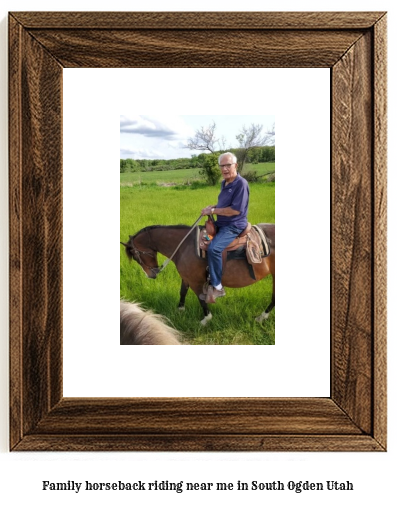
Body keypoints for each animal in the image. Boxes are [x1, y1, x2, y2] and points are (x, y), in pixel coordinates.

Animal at [122, 224, 274, 328]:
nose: (151, 275)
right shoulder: (186, 277)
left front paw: (206, 319)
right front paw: (180, 310)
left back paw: (262, 317)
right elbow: (183, 292)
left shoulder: (196, 281)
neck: (184, 246)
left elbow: (201, 299)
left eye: (135, 255)